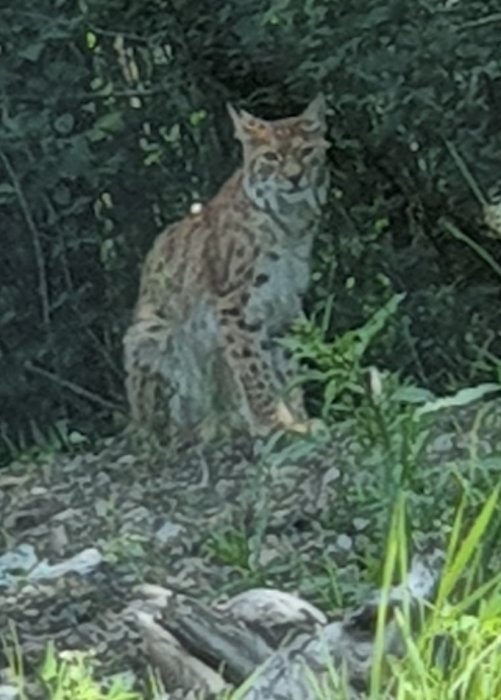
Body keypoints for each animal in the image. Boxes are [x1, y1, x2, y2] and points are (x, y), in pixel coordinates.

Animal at [123, 95, 330, 440]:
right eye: (271, 157)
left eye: (305, 152)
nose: (294, 178)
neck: (289, 220)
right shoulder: (235, 303)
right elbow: (253, 367)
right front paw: (272, 423)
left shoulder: (286, 303)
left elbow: (288, 366)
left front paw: (299, 420)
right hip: (149, 330)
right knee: (163, 430)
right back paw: (206, 427)